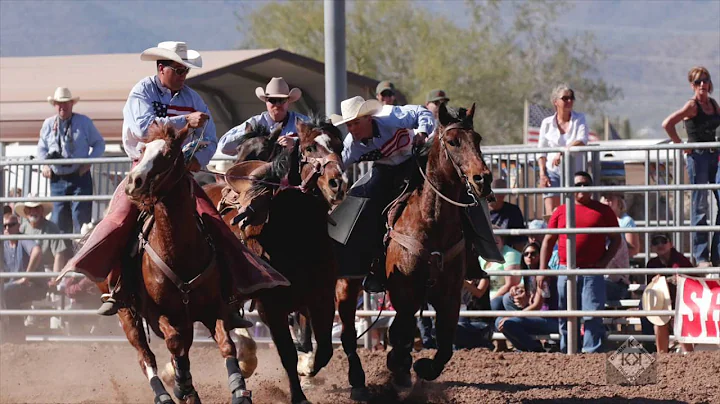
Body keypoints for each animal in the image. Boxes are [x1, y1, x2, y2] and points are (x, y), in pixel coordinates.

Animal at [116, 122, 255, 404]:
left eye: (168, 154)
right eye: (142, 150)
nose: (134, 182)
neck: (178, 251)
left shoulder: (215, 308)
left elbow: (226, 345)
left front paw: (239, 391)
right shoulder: (156, 313)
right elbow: (174, 344)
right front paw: (182, 386)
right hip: (127, 314)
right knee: (146, 356)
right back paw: (165, 394)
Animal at [202, 115, 348, 402]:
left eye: (339, 146)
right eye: (310, 148)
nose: (337, 183)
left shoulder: (321, 297)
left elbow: (324, 348)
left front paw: (308, 370)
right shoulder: (271, 307)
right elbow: (287, 353)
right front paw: (299, 394)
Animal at [334, 102, 492, 392]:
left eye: (477, 139)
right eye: (453, 141)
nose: (482, 179)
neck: (431, 221)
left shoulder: (449, 295)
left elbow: (444, 345)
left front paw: (419, 367)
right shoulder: (404, 291)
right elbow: (402, 332)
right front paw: (399, 366)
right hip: (346, 285)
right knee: (349, 332)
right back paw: (358, 380)